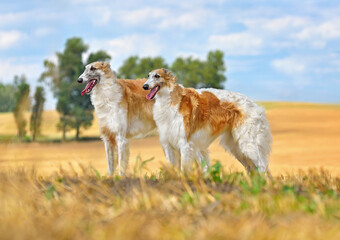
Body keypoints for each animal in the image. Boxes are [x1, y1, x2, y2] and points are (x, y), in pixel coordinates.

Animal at [142, 68, 272, 173]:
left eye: (157, 76)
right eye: (148, 75)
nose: (144, 86)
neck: (171, 100)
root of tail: (256, 106)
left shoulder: (185, 143)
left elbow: (184, 169)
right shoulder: (168, 143)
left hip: (248, 144)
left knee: (263, 167)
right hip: (237, 148)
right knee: (253, 169)